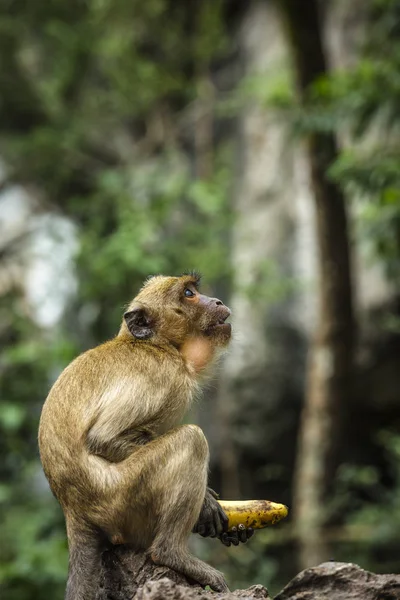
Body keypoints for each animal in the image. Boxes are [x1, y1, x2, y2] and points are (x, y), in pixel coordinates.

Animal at [37, 274, 250, 600]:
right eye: (189, 294)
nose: (216, 301)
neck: (157, 345)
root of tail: (73, 511)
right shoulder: (163, 374)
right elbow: (103, 438)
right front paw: (205, 504)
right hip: (122, 500)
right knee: (191, 440)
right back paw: (171, 554)